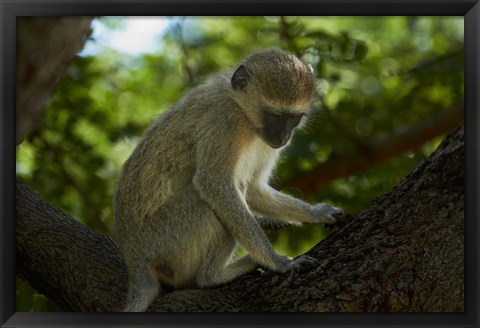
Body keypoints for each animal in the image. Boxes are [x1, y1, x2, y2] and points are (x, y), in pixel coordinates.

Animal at [112, 47, 344, 312]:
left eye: (294, 118)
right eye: (275, 115)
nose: (284, 138)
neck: (242, 109)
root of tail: (133, 257)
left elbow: (254, 189)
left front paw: (318, 213)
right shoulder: (225, 120)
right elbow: (214, 183)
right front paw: (278, 263)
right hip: (162, 239)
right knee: (205, 202)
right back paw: (212, 276)